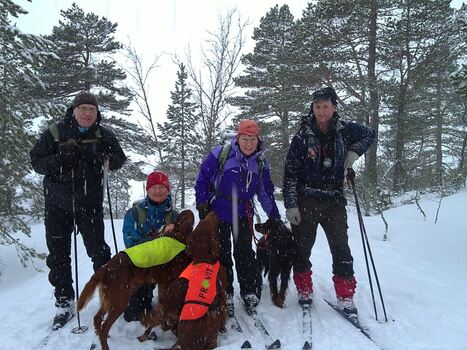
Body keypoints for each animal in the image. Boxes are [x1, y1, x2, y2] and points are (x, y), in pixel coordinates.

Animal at [77, 209, 194, 348]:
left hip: (109, 299)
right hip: (120, 301)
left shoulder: (163, 284)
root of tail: (104, 268)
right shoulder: (168, 283)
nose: (189, 210)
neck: (177, 236)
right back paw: (105, 344)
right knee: (105, 327)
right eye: (184, 218)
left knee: (97, 318)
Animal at [141, 211, 229, 350]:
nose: (213, 212)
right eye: (207, 221)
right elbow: (224, 310)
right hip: (211, 315)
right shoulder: (223, 291)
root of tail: (183, 343)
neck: (203, 257)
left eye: (202, 221)